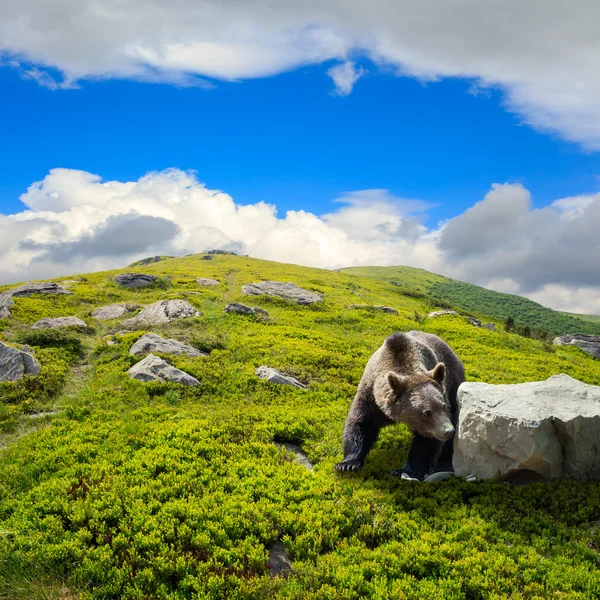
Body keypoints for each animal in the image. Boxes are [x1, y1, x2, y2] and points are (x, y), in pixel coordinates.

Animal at [336, 330, 466, 480]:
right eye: (426, 412)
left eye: (443, 406)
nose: (448, 431)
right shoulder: (370, 397)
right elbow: (361, 423)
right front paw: (347, 464)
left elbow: (425, 443)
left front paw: (404, 471)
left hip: (453, 382)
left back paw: (443, 465)